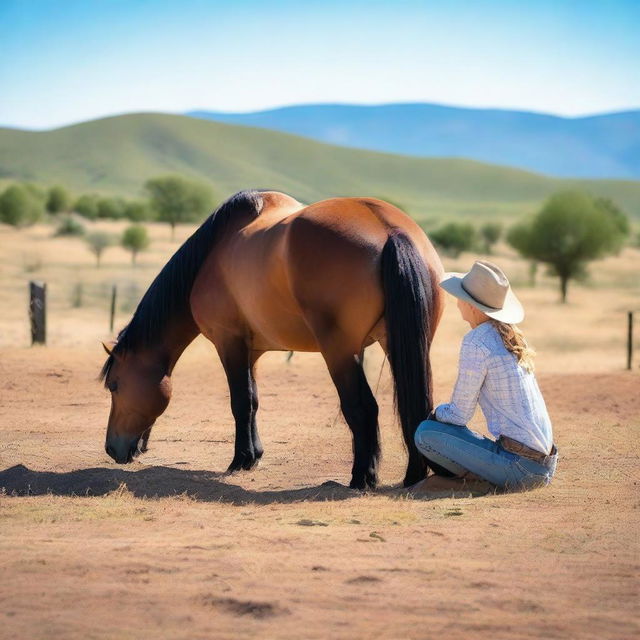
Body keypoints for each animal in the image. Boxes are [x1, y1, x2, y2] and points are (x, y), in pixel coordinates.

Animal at [101, 190, 444, 490]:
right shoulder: (251, 351)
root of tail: (389, 229)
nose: (112, 449)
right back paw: (413, 476)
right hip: (402, 345)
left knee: (362, 408)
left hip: (340, 352)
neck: (211, 255)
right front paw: (254, 455)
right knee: (417, 406)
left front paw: (240, 460)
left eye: (114, 386)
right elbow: (253, 400)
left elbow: (240, 401)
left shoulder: (228, 342)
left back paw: (361, 478)